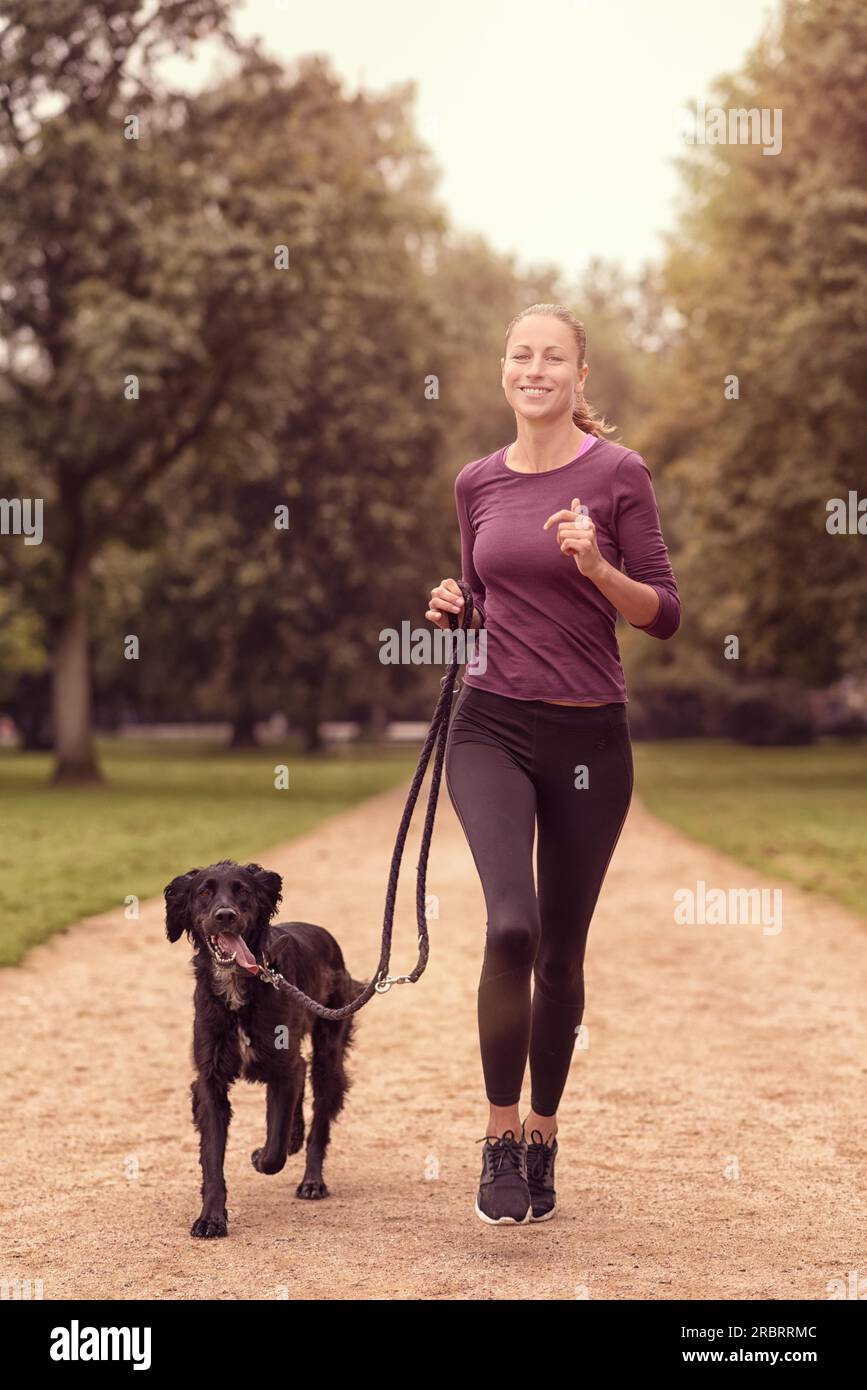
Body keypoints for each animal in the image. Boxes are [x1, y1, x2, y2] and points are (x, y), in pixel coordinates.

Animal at [165, 856, 361, 1239]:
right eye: (204, 892)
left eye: (242, 891)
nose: (225, 915)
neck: (240, 987)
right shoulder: (210, 1079)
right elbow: (213, 1159)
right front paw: (211, 1218)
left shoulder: (283, 1066)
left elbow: (274, 1151)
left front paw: (262, 1155)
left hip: (328, 1053)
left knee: (318, 1118)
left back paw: (312, 1181)